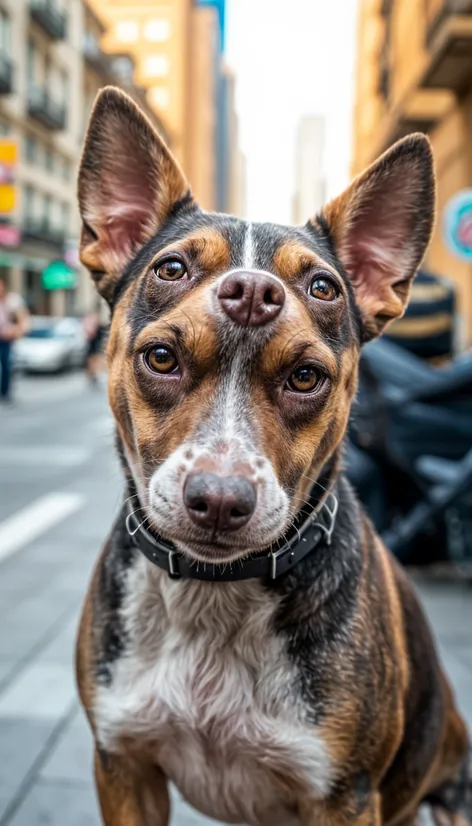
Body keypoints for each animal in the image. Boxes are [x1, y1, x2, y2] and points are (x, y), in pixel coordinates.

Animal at [75, 85, 470, 824]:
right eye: (161, 359)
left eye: (306, 378)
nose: (254, 290)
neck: (212, 593)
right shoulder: (123, 767)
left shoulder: (344, 796)